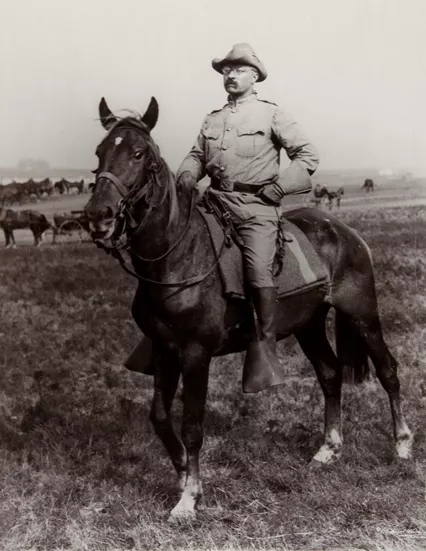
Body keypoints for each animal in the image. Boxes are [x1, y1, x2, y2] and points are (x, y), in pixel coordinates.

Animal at [83, 97, 412, 524]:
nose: (98, 216)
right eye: (100, 152)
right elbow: (160, 417)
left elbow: (192, 425)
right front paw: (182, 476)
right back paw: (329, 448)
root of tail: (344, 231)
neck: (178, 256)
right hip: (309, 325)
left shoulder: (196, 354)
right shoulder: (163, 350)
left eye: (139, 154)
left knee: (388, 371)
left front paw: (189, 498)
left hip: (363, 314)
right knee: (330, 374)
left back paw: (402, 445)